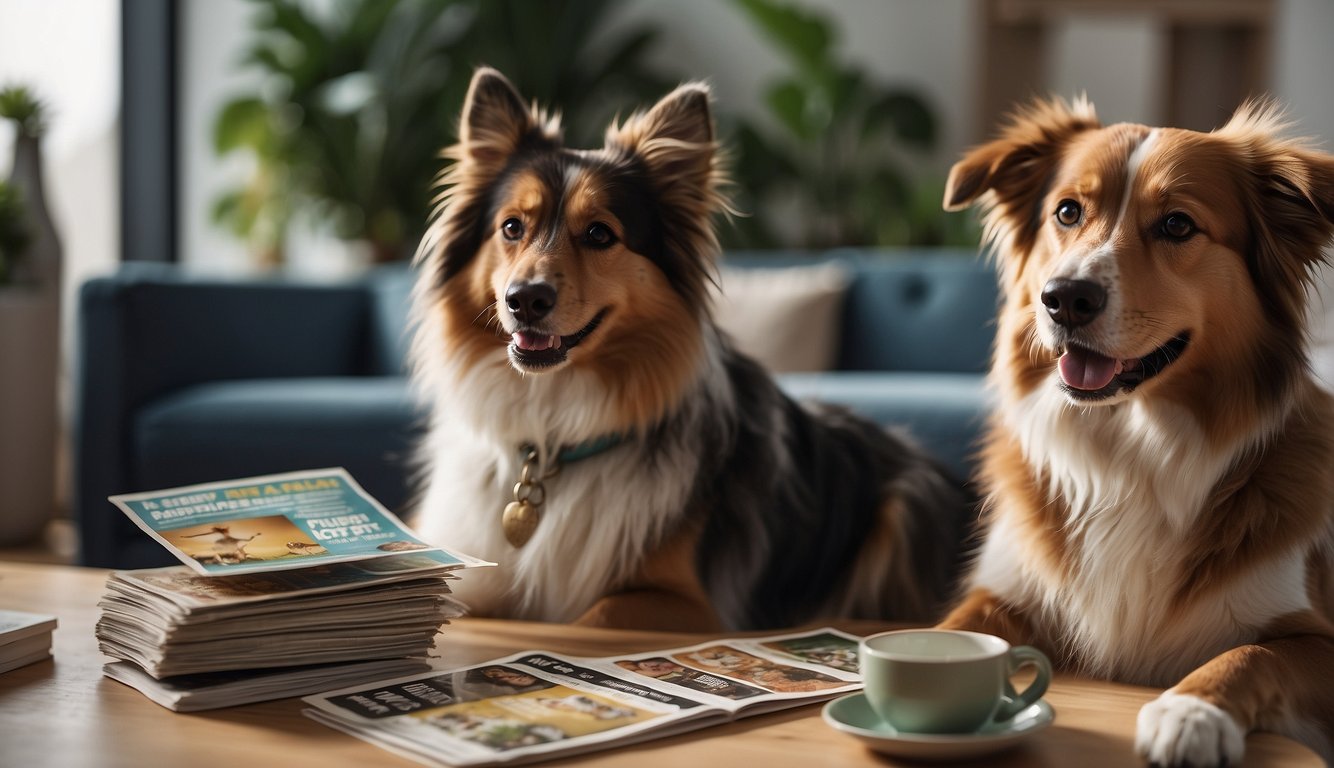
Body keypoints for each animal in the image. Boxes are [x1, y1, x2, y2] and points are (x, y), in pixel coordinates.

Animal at [405, 67, 971, 629]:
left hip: (906, 507)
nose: (524, 299)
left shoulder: (691, 604)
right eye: (511, 227)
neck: (555, 434)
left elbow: (596, 615)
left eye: (599, 234)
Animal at [939, 98, 1334, 762]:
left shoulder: (1313, 635)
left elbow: (1253, 654)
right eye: (1067, 212)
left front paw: (1191, 710)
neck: (1130, 450)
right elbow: (947, 631)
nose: (1063, 299)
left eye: (1177, 225)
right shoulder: (1005, 591)